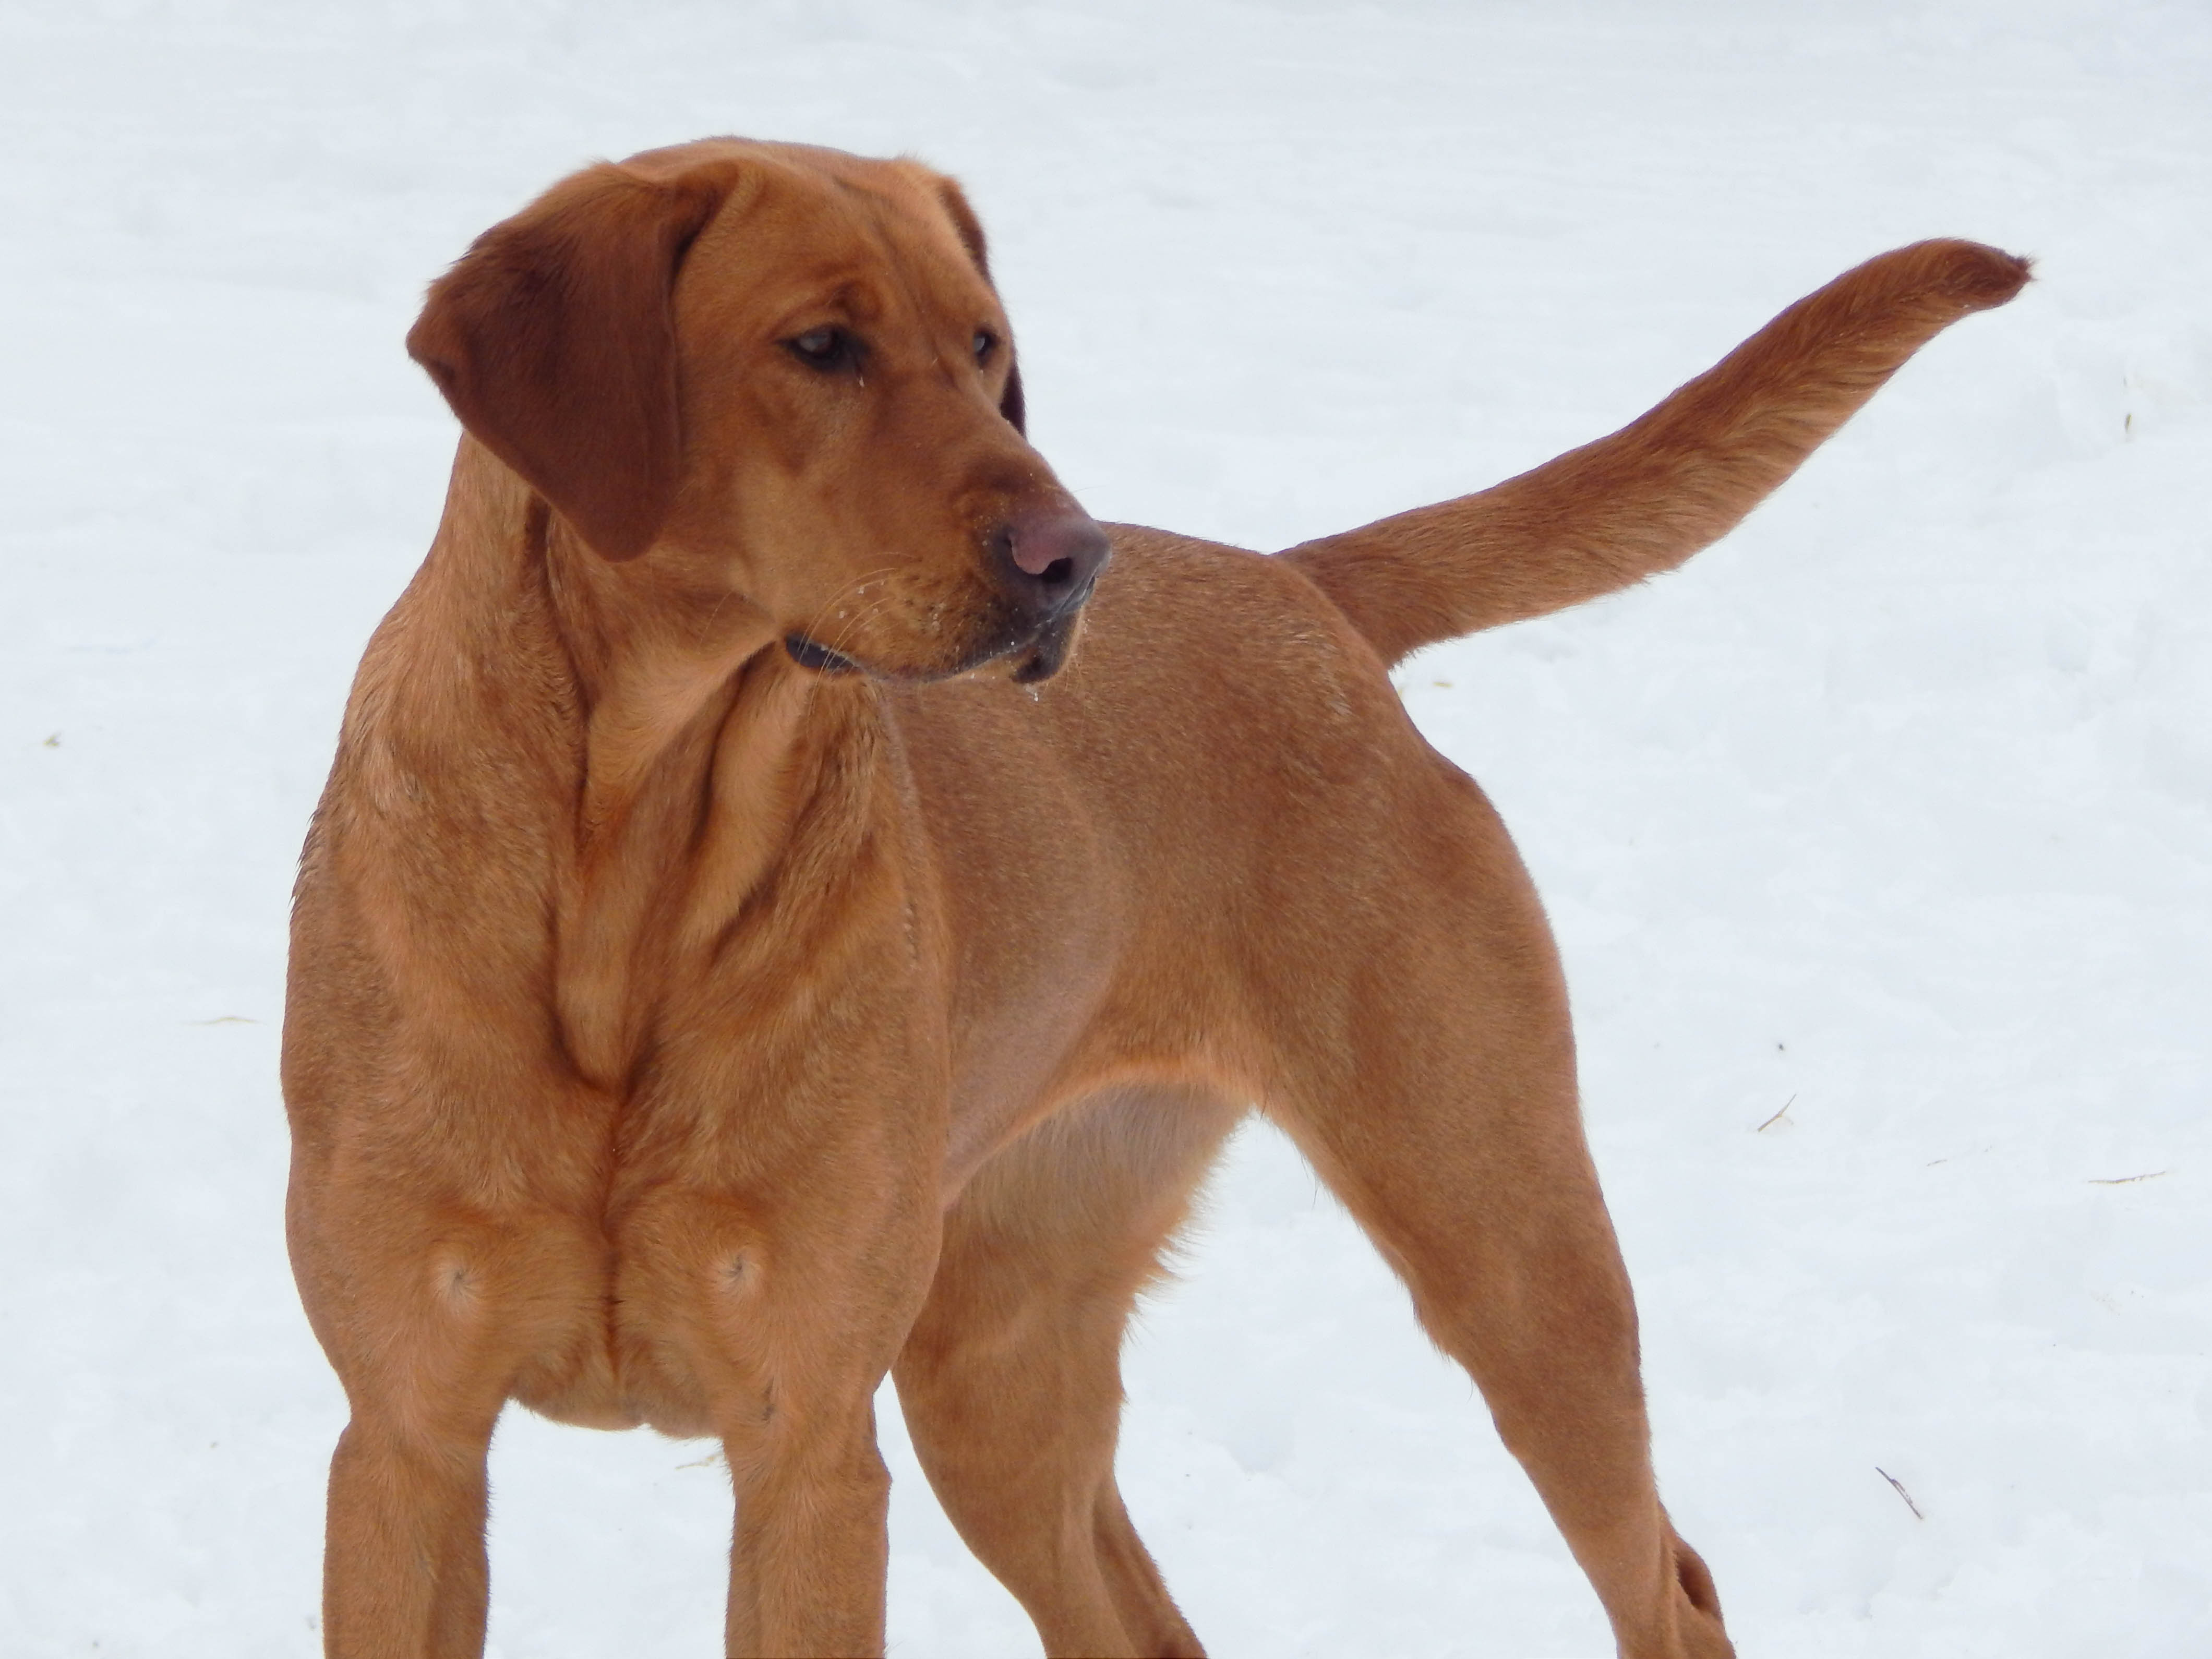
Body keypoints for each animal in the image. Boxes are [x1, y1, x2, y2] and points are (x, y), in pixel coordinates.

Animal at [285, 136, 2026, 1654]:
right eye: (821, 344)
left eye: (987, 347)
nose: (1075, 557)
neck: (628, 872)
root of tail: (1301, 586)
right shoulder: (407, 1441)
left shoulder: (807, 1444)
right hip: (994, 1367)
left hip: (1512, 1254)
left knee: (1670, 1584)